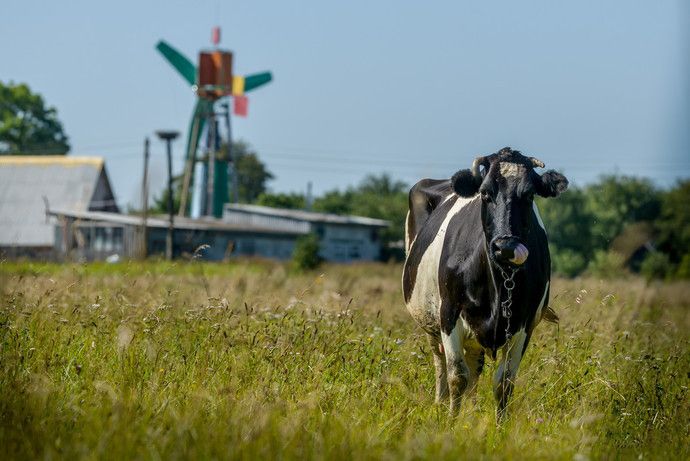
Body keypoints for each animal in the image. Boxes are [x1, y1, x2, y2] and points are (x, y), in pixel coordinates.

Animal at [404, 147, 564, 416]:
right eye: (485, 193)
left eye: (529, 195)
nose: (506, 247)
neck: (499, 282)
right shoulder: (449, 314)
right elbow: (457, 377)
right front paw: (451, 421)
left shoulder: (525, 324)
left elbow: (504, 382)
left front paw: (499, 425)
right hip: (429, 321)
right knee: (441, 363)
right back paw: (440, 404)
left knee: (474, 368)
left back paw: (471, 409)